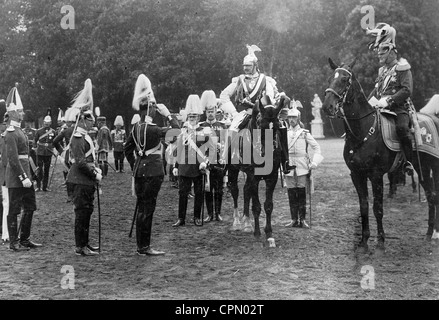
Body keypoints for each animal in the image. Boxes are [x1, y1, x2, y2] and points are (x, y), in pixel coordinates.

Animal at [225, 94, 290, 246]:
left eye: (277, 126)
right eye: (260, 123)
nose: (268, 152)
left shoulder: (272, 177)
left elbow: (268, 205)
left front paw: (269, 234)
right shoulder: (253, 176)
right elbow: (256, 206)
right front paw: (257, 233)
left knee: (246, 190)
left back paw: (247, 223)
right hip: (233, 170)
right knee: (235, 190)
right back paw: (237, 222)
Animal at [324, 58, 439, 252]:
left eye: (345, 80)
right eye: (330, 78)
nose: (327, 106)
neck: (362, 131)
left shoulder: (376, 175)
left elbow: (377, 207)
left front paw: (381, 240)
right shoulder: (357, 175)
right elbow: (364, 206)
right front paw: (364, 240)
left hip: (426, 167)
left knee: (432, 196)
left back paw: (433, 233)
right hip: (424, 168)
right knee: (431, 196)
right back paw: (430, 233)